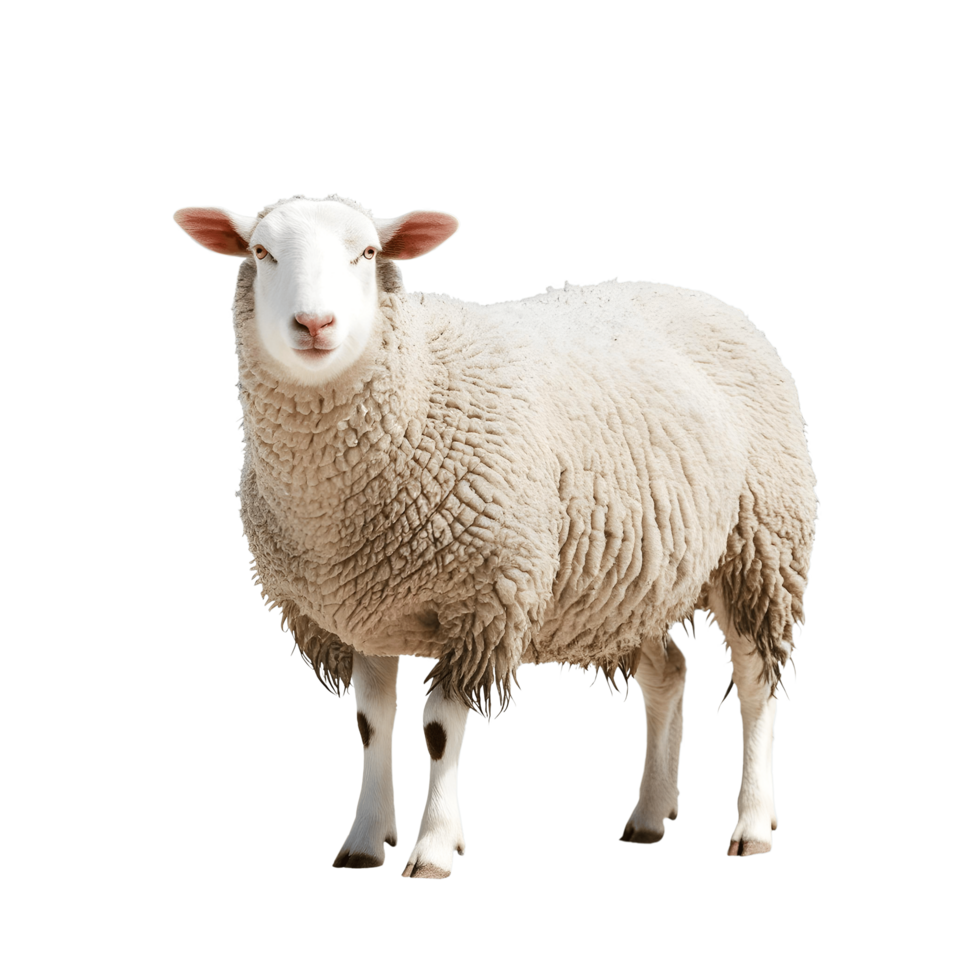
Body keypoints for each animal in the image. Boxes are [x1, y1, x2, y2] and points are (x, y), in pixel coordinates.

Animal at [174, 193, 817, 880]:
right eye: (261, 252)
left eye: (368, 253)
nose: (314, 323)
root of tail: (705, 299)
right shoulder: (362, 614)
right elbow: (372, 725)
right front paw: (364, 843)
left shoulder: (482, 600)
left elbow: (440, 726)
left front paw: (433, 850)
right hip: (633, 578)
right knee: (668, 674)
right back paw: (648, 816)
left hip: (760, 545)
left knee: (755, 686)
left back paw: (752, 828)